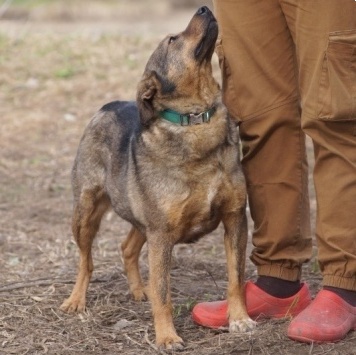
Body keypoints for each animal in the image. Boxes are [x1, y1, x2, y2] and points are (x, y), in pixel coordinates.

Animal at [61, 5, 256, 350]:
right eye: (172, 39)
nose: (204, 7)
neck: (196, 119)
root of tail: (107, 105)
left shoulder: (234, 219)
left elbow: (236, 277)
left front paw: (239, 319)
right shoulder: (162, 234)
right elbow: (163, 293)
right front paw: (166, 336)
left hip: (142, 221)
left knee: (127, 248)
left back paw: (141, 290)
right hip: (86, 213)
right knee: (86, 260)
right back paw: (76, 300)